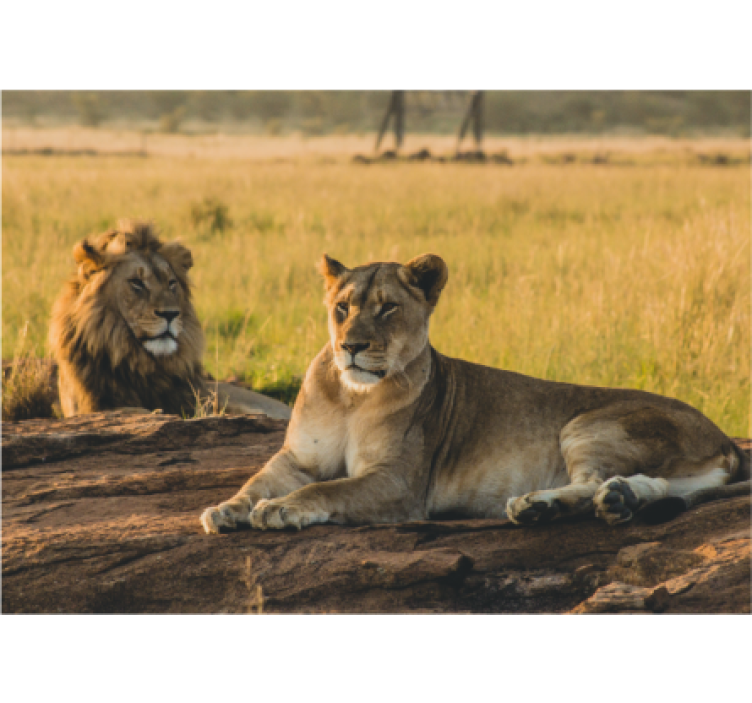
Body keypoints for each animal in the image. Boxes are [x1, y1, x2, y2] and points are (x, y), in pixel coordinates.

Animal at [200, 253, 749, 534]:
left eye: (388, 308)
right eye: (342, 308)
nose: (351, 346)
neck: (351, 397)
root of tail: (725, 439)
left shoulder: (399, 482)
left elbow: (327, 490)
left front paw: (280, 509)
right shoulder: (298, 457)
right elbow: (257, 480)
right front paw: (226, 509)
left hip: (588, 423)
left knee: (592, 480)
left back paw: (538, 505)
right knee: (648, 485)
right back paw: (615, 500)